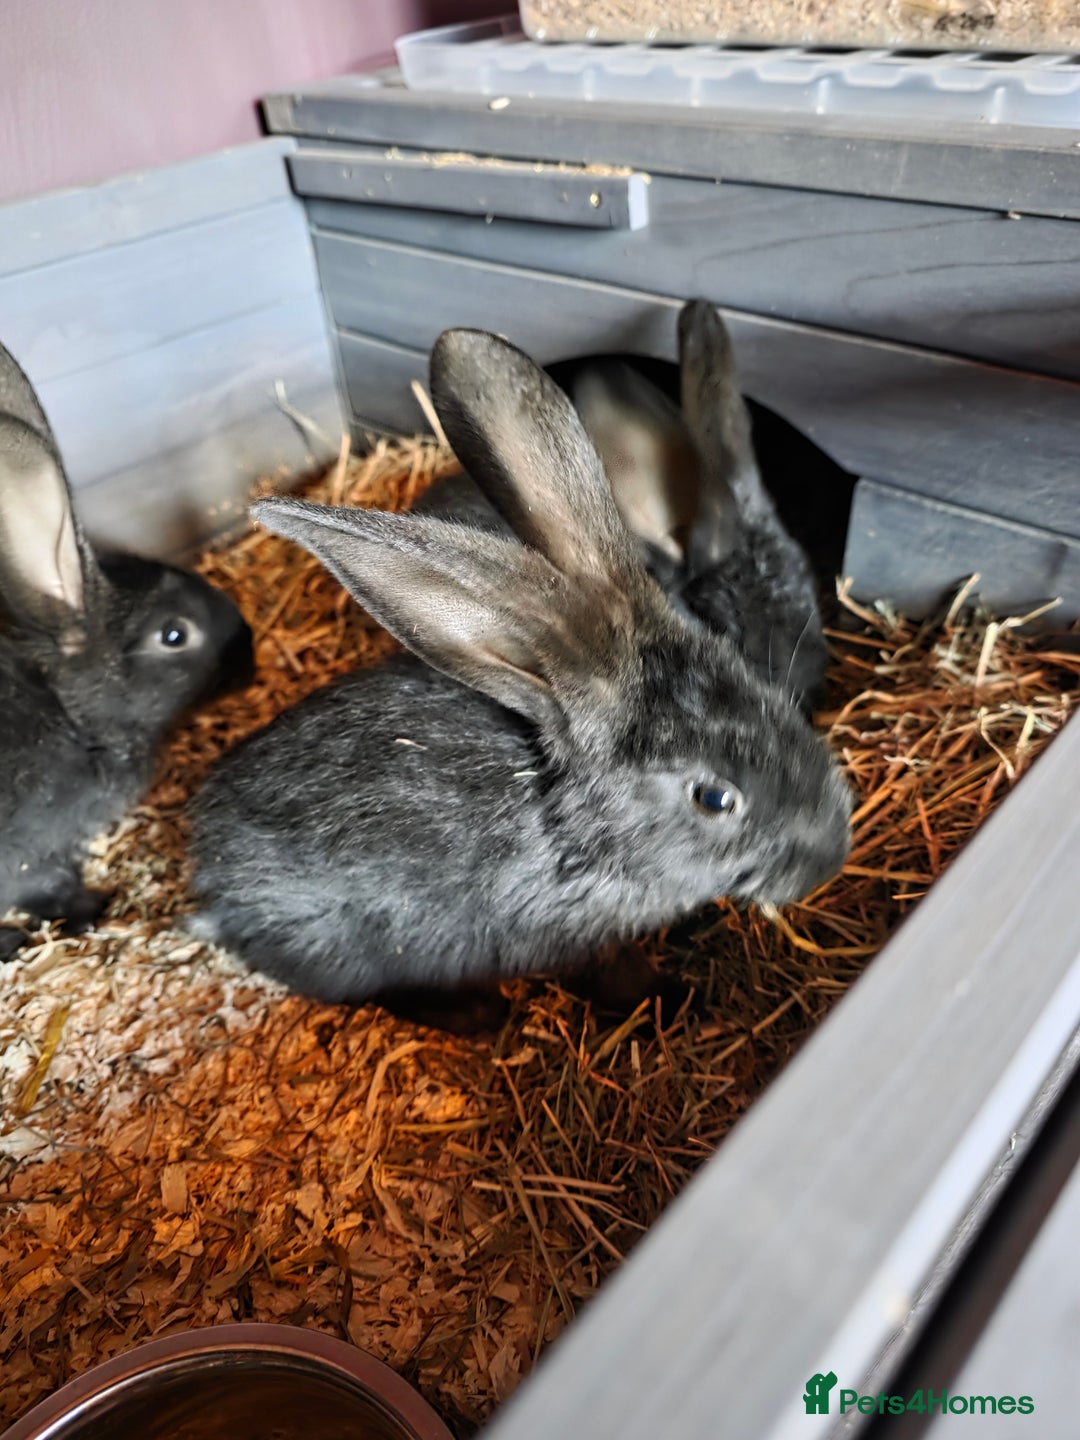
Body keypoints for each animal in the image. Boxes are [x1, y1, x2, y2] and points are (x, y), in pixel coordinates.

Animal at [0, 340, 254, 961]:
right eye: (174, 635)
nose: (252, 654)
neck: (71, 717)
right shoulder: (31, 853)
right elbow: (46, 884)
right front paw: (89, 909)